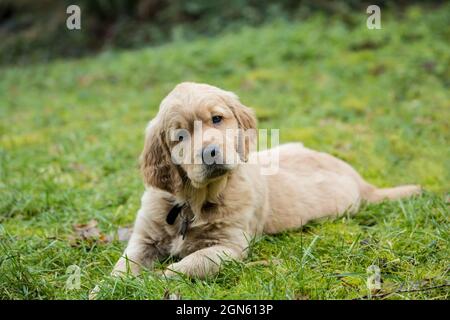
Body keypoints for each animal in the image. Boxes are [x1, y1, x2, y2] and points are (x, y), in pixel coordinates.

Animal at [110, 82, 420, 278]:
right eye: (180, 136)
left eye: (217, 119)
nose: (210, 153)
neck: (193, 201)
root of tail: (358, 178)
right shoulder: (144, 238)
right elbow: (122, 266)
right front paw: (112, 285)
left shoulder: (229, 245)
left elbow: (187, 264)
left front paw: (155, 279)